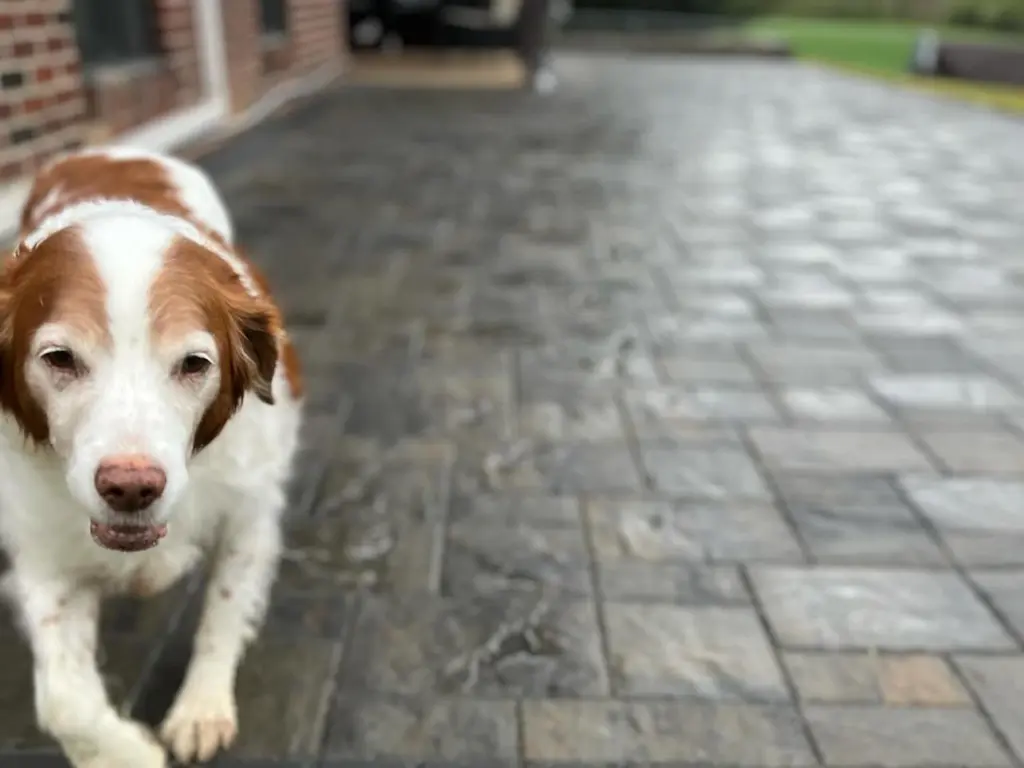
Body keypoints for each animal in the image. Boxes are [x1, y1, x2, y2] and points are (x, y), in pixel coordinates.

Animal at [0, 147, 303, 765]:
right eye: (59, 358)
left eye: (194, 364)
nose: (131, 487)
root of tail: (106, 150)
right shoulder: (42, 552)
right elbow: (64, 701)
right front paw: (124, 753)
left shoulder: (249, 517)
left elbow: (222, 613)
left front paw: (201, 707)